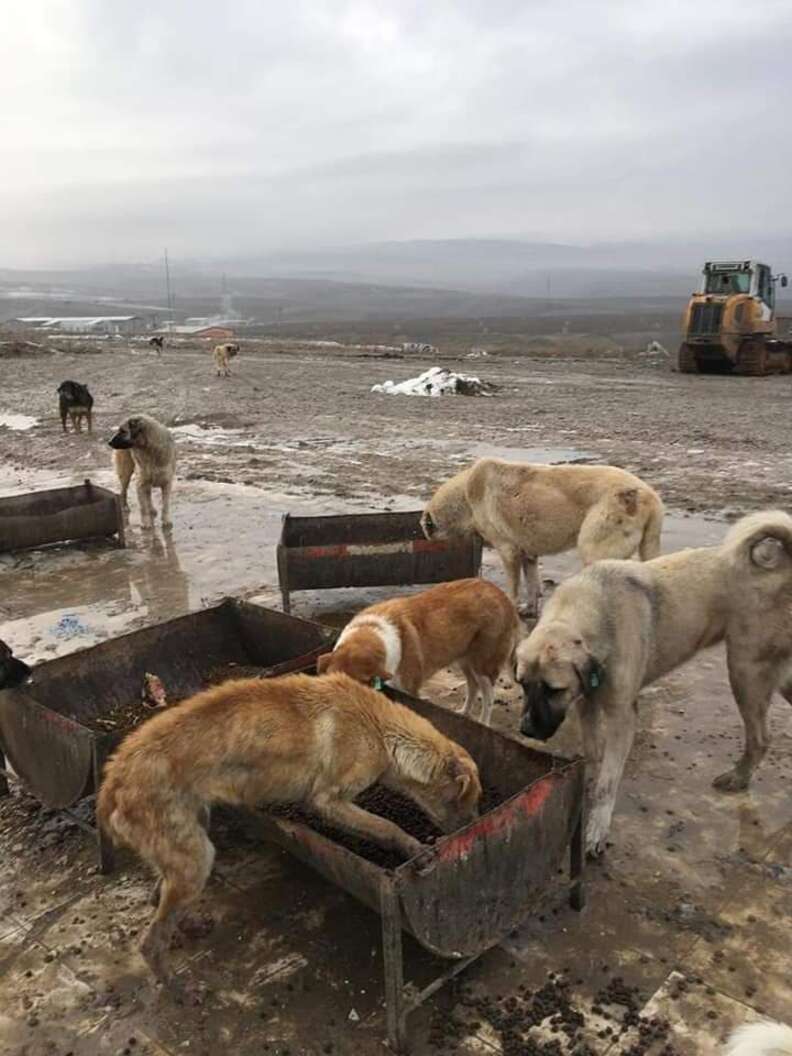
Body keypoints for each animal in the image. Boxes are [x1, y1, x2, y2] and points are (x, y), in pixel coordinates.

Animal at [96, 675, 481, 988]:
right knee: (150, 941)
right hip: (196, 857)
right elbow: (387, 826)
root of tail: (113, 779)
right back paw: (178, 986)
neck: (381, 730)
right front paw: (415, 848)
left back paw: (186, 928)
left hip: (191, 840)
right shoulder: (327, 801)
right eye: (467, 802)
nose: (474, 827)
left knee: (159, 897)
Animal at [316, 578, 521, 726]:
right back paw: (464, 712)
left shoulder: (410, 690)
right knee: (472, 686)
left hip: (483, 664)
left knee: (488, 696)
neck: (372, 632)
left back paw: (483, 722)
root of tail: (503, 597)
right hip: (465, 659)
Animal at [424, 458, 667, 616]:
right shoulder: (528, 553)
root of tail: (648, 495)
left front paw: (511, 605)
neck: (464, 499)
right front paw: (530, 609)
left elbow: (513, 585)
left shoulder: (508, 550)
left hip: (595, 547)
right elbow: (532, 583)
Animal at [515, 511, 792, 857]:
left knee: (760, 737)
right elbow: (593, 754)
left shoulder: (622, 718)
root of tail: (781, 568)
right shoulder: (587, 704)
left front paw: (597, 829)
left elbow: (608, 782)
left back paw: (738, 778)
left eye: (554, 690)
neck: (589, 613)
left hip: (745, 673)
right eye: (522, 684)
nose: (526, 730)